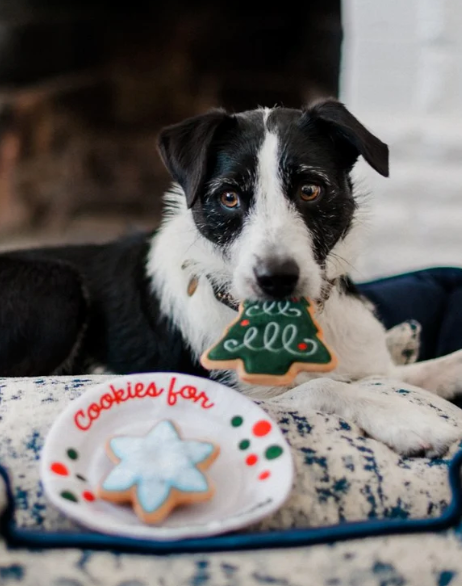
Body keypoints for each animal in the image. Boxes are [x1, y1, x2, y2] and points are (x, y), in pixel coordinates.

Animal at [0, 98, 462, 456]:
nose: (276, 278)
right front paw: (408, 422)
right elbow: (324, 388)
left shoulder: (369, 365)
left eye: (310, 189)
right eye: (228, 196)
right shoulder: (237, 394)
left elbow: (416, 371)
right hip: (58, 286)